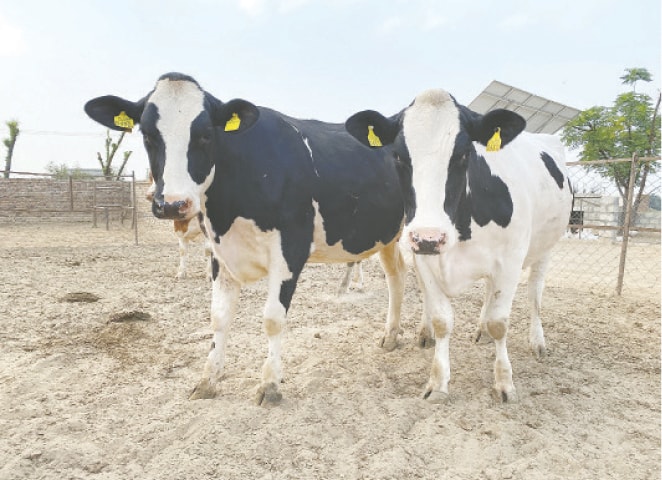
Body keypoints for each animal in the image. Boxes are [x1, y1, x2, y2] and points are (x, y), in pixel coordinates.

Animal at [85, 73, 412, 404]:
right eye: (148, 135)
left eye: (205, 135)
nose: (173, 205)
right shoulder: (220, 253)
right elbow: (218, 317)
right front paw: (207, 380)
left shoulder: (289, 252)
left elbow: (272, 319)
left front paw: (269, 385)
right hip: (388, 237)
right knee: (396, 277)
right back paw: (391, 335)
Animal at [348, 88, 576, 404]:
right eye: (398, 156)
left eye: (464, 154)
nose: (429, 237)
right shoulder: (426, 259)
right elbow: (442, 321)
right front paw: (438, 383)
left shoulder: (509, 261)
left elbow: (500, 323)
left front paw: (504, 384)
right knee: (489, 293)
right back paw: (477, 330)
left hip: (546, 247)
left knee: (535, 295)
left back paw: (537, 341)